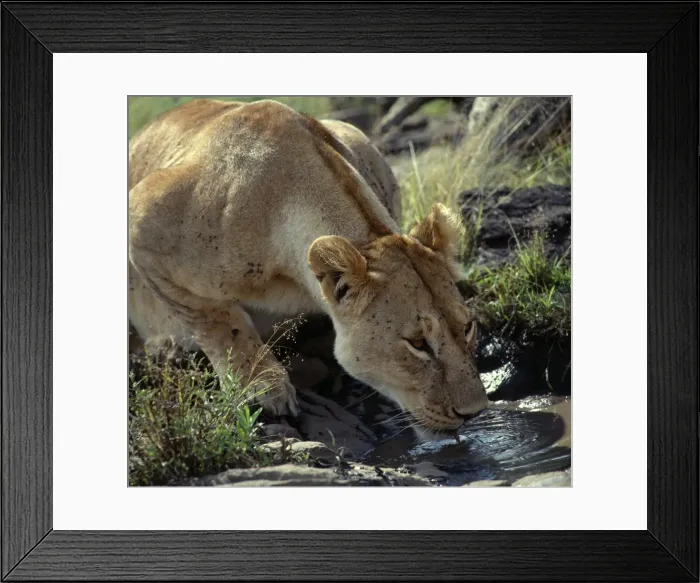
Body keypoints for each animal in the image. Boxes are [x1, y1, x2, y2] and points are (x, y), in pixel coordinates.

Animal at [129, 98, 488, 432]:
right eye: (418, 344)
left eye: (467, 327)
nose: (474, 413)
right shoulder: (142, 217)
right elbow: (218, 321)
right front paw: (262, 386)